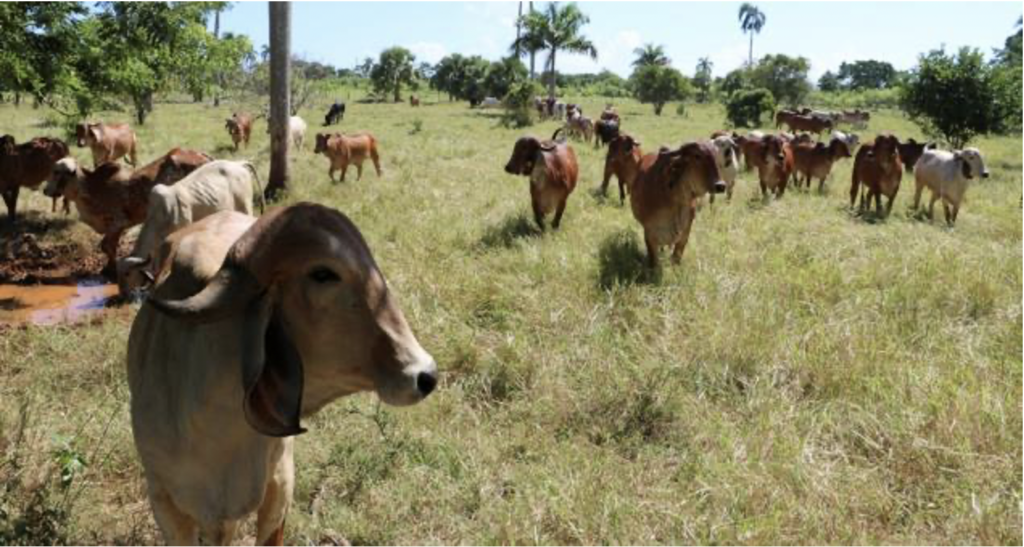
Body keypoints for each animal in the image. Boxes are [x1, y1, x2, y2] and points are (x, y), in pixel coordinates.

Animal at [43, 149, 212, 276]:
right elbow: (108, 246)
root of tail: (203, 156)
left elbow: (107, 246)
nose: (45, 190)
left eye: (57, 172)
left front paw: (110, 270)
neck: (92, 188)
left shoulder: (118, 222)